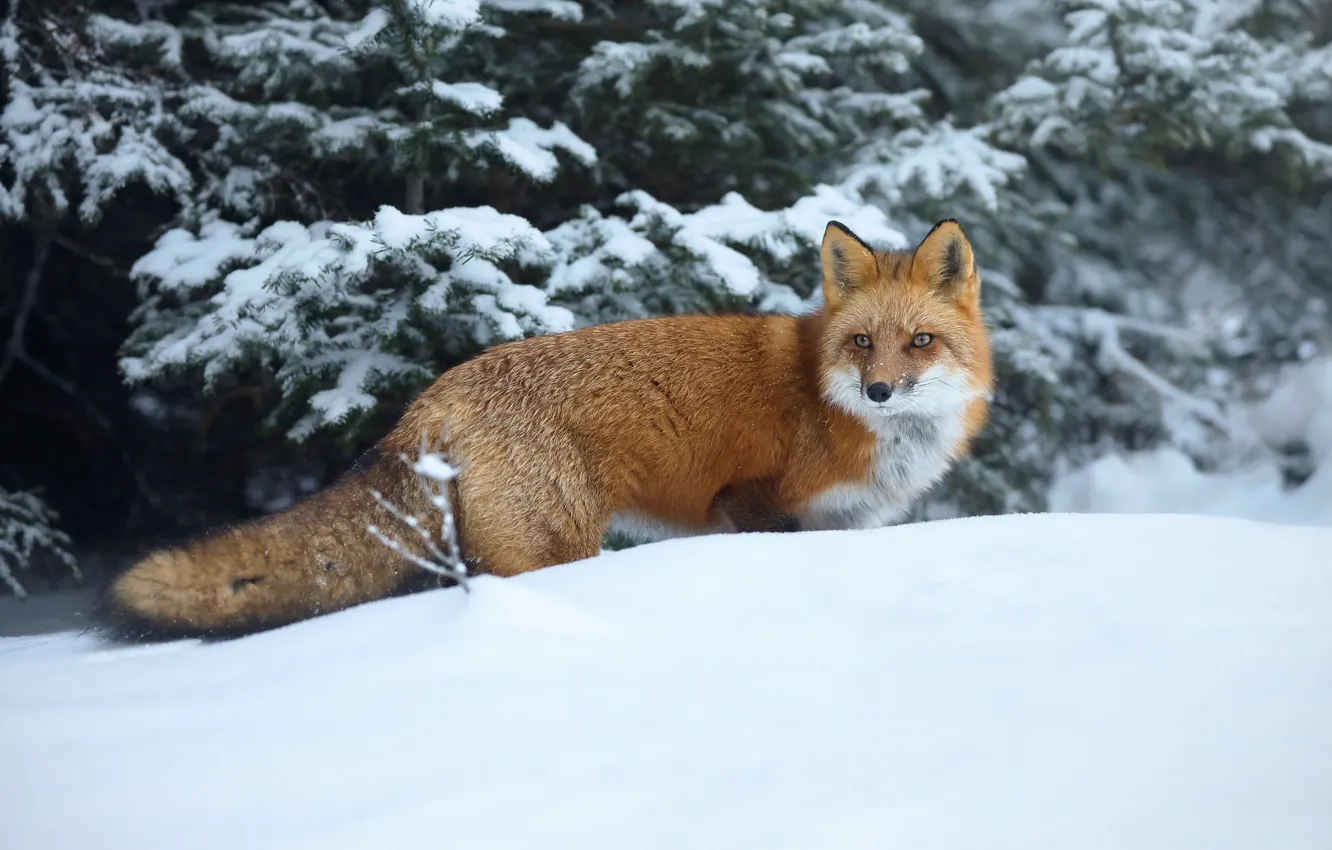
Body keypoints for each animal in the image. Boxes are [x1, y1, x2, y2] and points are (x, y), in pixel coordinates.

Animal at [103, 219, 996, 639]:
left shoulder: (839, 525)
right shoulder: (750, 502)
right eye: (862, 343)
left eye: (919, 342)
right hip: (553, 546)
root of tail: (435, 393)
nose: (880, 390)